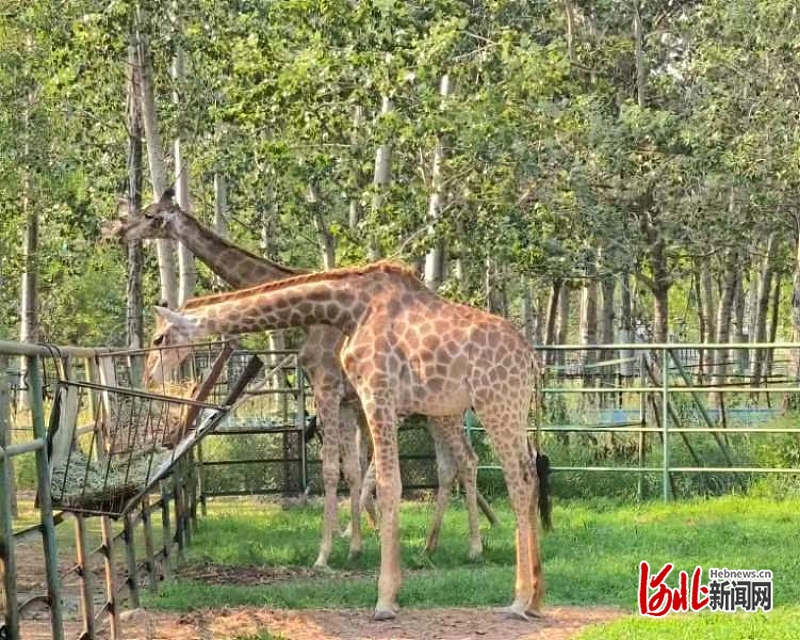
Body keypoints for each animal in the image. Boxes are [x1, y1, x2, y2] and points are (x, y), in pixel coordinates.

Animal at [104, 189, 494, 564]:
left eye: (150, 215)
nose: (118, 231)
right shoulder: (347, 401)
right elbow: (352, 468)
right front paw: (356, 543)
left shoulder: (327, 387)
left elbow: (333, 469)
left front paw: (329, 551)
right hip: (432, 412)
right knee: (447, 466)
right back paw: (430, 545)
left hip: (441, 412)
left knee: (467, 460)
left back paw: (474, 547)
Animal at [145, 260, 552, 620]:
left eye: (159, 338)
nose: (149, 377)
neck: (350, 310)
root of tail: (533, 361)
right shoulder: (366, 402)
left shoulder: (376, 395)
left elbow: (387, 485)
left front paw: (384, 599)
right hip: (507, 410)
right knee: (526, 474)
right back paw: (534, 599)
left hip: (493, 403)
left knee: (516, 481)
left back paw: (518, 599)